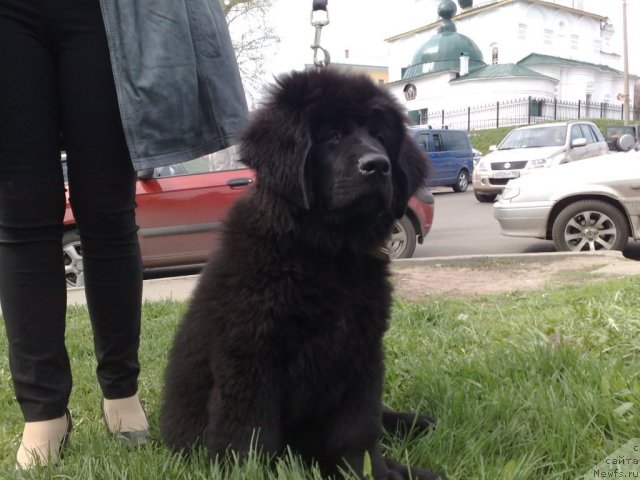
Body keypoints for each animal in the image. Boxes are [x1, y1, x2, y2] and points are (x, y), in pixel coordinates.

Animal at [160, 68, 444, 480]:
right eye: (332, 135)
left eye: (379, 135)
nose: (377, 165)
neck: (327, 255)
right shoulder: (250, 356)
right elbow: (250, 437)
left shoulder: (362, 355)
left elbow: (358, 432)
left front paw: (371, 470)